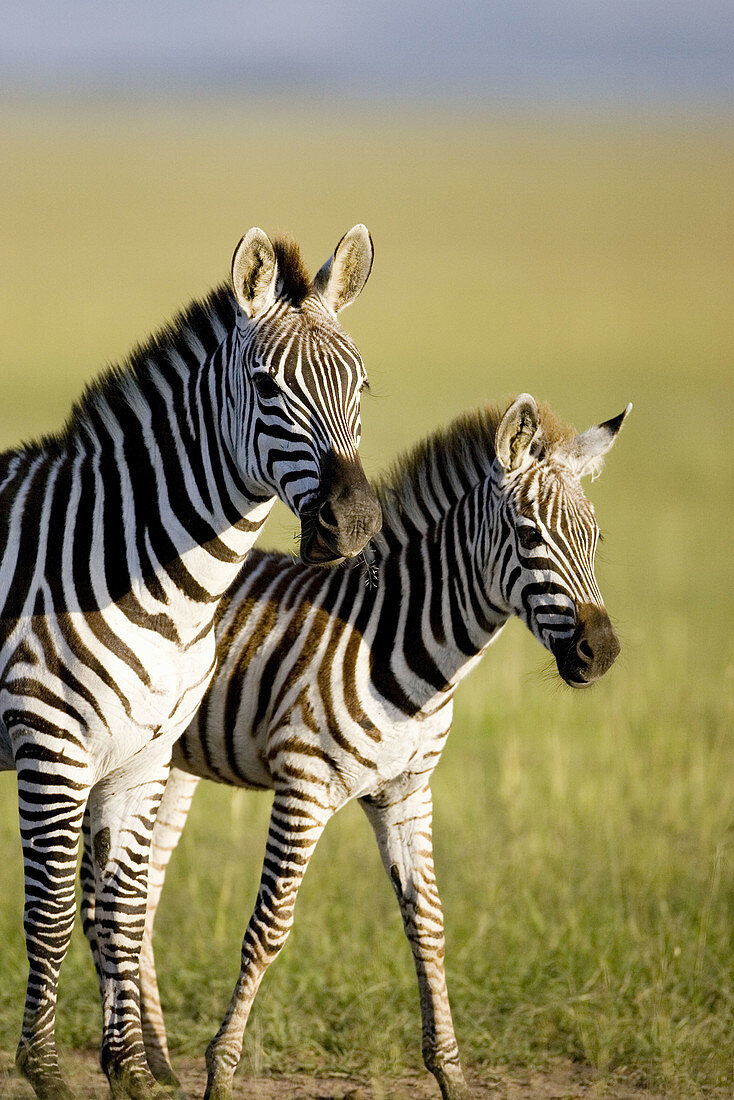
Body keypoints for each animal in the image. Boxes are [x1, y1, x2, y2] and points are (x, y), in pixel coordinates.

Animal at [1, 225, 385, 1100]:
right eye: (267, 386)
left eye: (362, 385)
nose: (351, 523)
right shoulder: (51, 747)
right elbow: (52, 911)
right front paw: (45, 1069)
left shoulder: (142, 756)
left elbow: (123, 912)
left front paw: (131, 1071)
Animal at [99, 393, 633, 1100]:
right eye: (529, 536)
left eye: (595, 538)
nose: (601, 653)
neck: (404, 645)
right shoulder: (304, 785)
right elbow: (269, 928)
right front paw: (221, 1070)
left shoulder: (406, 792)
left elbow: (429, 925)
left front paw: (451, 1072)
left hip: (170, 765)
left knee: (143, 897)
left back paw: (156, 1060)